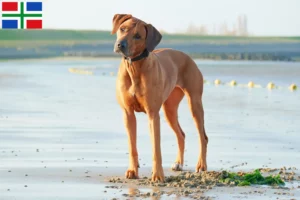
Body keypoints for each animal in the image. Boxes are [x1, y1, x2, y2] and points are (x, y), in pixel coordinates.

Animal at [111, 14, 207, 182]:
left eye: (138, 36)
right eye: (122, 29)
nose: (120, 45)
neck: (134, 66)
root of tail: (187, 56)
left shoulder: (153, 114)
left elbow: (156, 148)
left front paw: (157, 174)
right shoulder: (128, 113)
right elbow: (132, 146)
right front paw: (132, 170)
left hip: (194, 103)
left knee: (203, 137)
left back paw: (201, 165)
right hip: (169, 108)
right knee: (181, 134)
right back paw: (178, 163)